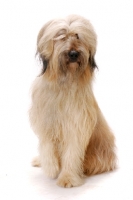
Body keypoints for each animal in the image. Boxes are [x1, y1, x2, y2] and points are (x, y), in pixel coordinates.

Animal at [29, 14, 116, 188]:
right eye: (61, 36)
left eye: (77, 36)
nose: (74, 54)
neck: (64, 82)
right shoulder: (44, 119)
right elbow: (47, 145)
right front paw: (51, 166)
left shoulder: (76, 124)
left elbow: (72, 152)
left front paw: (68, 178)